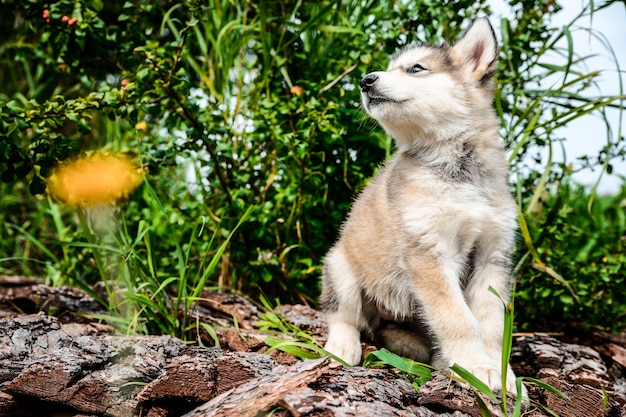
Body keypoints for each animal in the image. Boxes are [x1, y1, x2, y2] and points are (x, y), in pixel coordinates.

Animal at [322, 18, 520, 394]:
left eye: (416, 68)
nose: (365, 80)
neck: (458, 174)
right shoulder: (429, 252)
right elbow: (458, 318)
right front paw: (476, 367)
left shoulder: (492, 257)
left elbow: (490, 324)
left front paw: (502, 377)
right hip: (341, 269)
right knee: (344, 315)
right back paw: (342, 345)